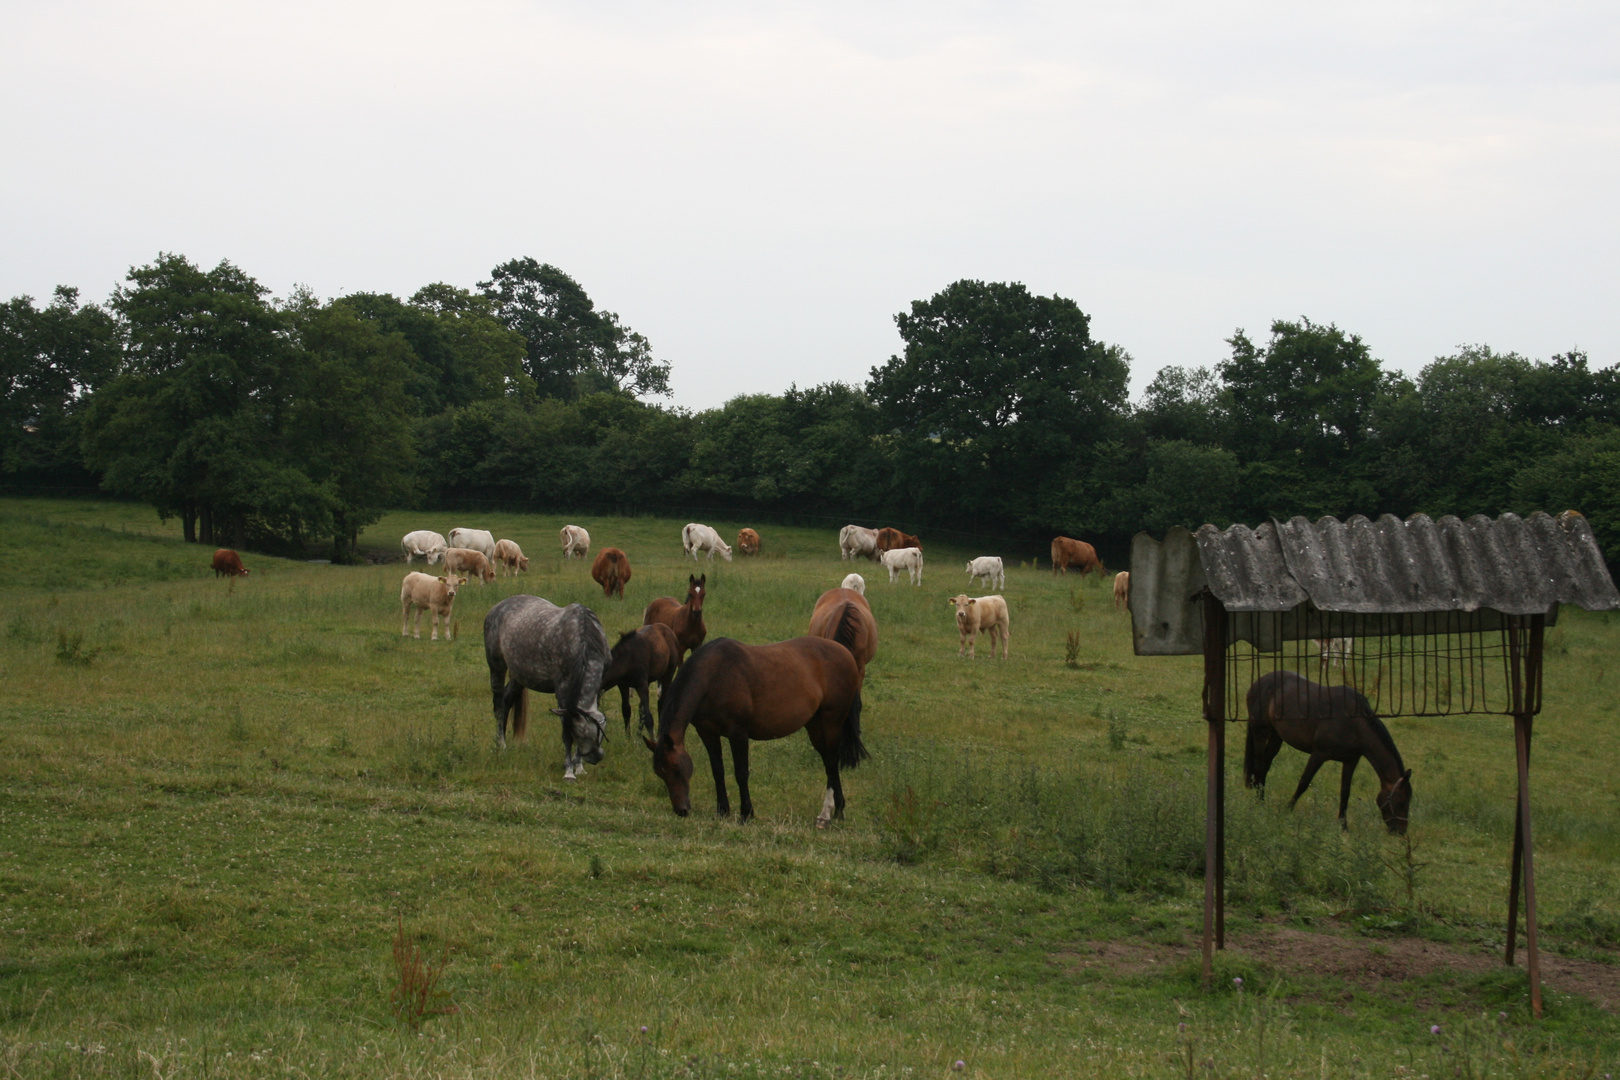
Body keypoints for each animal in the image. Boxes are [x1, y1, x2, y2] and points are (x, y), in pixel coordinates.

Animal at [482, 595, 609, 780]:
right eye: (579, 733)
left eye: (600, 730)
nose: (596, 757)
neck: (584, 640)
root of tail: (497, 607)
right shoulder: (562, 692)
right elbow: (565, 732)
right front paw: (569, 771)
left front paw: (579, 767)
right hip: (496, 667)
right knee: (498, 705)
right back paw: (501, 744)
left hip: (520, 677)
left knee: (506, 701)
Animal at [644, 637, 874, 822]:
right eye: (659, 772)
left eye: (676, 767)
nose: (681, 810)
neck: (714, 677)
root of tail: (846, 654)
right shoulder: (708, 733)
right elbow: (717, 770)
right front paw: (722, 811)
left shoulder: (738, 733)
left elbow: (741, 773)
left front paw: (746, 813)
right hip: (815, 725)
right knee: (827, 762)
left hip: (831, 721)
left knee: (832, 763)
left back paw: (831, 813)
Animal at [1244, 667, 1412, 835]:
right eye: (1401, 802)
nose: (1400, 832)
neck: (1353, 723)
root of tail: (1257, 683)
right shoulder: (1319, 754)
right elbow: (1304, 782)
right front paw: (1287, 809)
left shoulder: (1350, 761)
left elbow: (1345, 792)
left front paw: (1343, 827)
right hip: (1260, 732)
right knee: (1259, 765)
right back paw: (1259, 802)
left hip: (1276, 736)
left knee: (1265, 766)